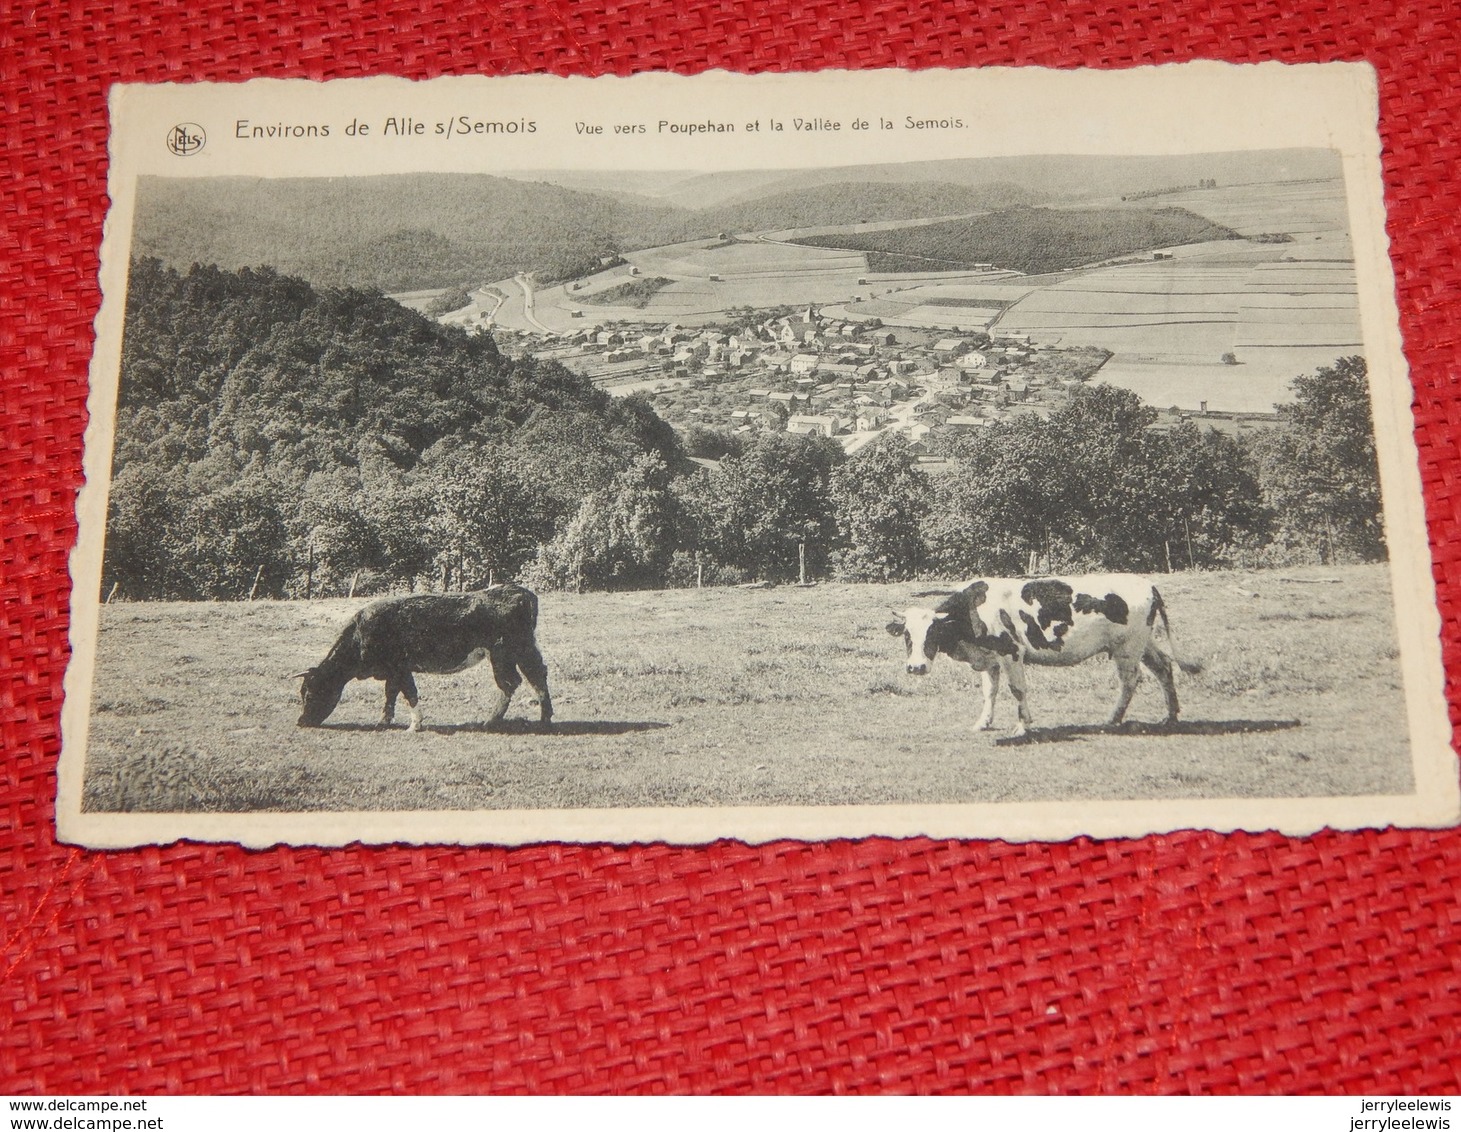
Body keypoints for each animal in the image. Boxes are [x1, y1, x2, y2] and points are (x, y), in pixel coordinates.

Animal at [292, 584, 552, 736]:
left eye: (310, 693)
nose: (301, 721)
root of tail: (521, 591)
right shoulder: (394, 670)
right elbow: (391, 694)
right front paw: (384, 721)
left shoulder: (399, 667)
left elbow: (409, 693)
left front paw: (414, 725)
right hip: (519, 651)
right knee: (536, 675)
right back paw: (544, 719)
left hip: (504, 652)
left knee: (512, 682)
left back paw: (490, 721)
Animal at [882, 572, 1203, 739]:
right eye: (908, 636)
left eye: (933, 633)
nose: (916, 667)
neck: (973, 610)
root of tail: (1147, 583)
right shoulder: (989, 658)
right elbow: (989, 692)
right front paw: (983, 723)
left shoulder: (1011, 651)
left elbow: (1017, 689)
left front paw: (1022, 726)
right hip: (1142, 643)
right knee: (1163, 667)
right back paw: (1170, 715)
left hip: (1127, 647)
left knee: (1130, 680)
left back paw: (1112, 719)